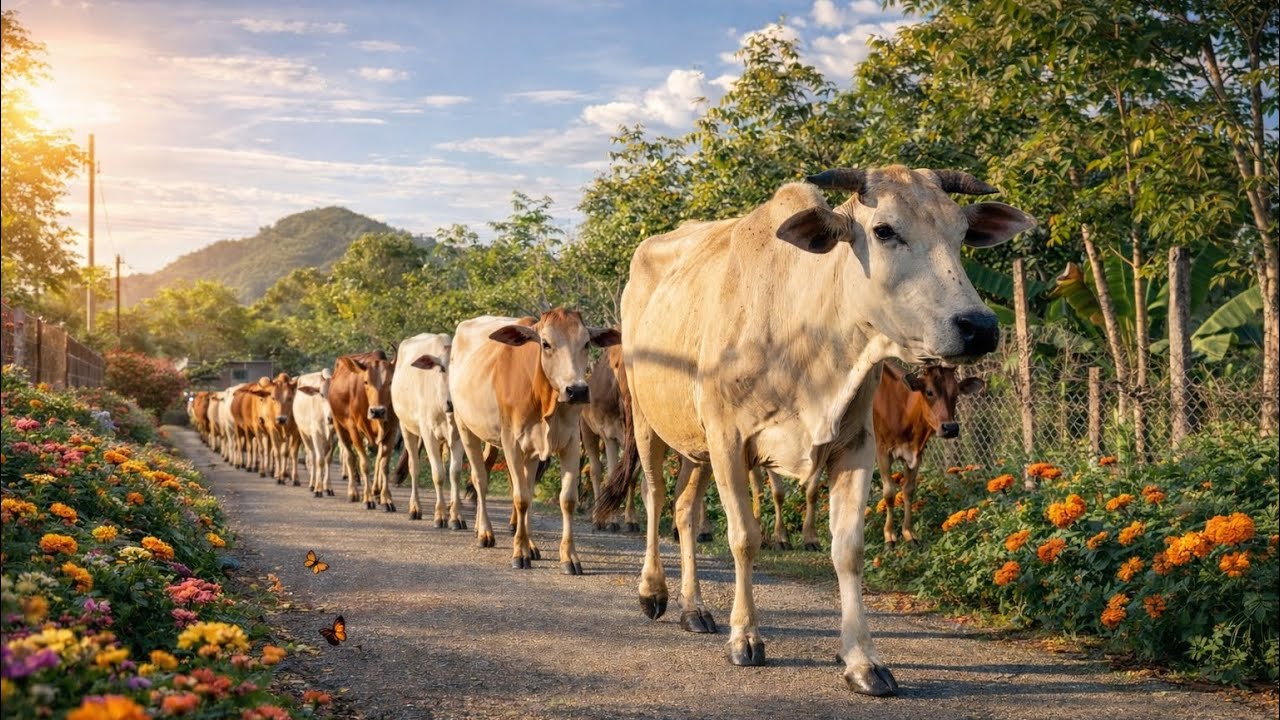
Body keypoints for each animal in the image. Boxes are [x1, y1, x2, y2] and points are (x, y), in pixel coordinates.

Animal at [294, 369, 336, 497]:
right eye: (322, 394)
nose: (331, 419)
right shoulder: (316, 434)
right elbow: (320, 460)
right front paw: (318, 489)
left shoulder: (335, 437)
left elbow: (328, 460)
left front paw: (328, 487)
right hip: (304, 433)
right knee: (312, 457)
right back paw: (312, 484)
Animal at [329, 350, 399, 510]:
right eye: (366, 382)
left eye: (390, 381)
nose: (377, 411)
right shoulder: (354, 429)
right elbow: (364, 464)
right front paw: (367, 499)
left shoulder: (392, 430)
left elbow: (384, 464)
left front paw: (387, 499)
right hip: (339, 425)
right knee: (349, 457)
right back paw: (353, 492)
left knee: (377, 459)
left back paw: (377, 491)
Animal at [391, 333, 466, 527]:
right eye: (441, 368)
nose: (451, 403)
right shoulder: (428, 434)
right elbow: (438, 474)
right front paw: (440, 516)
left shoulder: (458, 436)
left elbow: (454, 473)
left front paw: (456, 516)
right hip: (407, 428)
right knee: (414, 466)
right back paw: (415, 508)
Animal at [449, 309, 620, 574]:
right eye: (546, 343)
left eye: (586, 343)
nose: (577, 390)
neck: (544, 398)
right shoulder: (511, 442)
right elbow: (521, 498)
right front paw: (519, 553)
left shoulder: (570, 442)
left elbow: (565, 499)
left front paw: (568, 556)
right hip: (465, 427)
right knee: (480, 479)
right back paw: (485, 532)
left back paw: (527, 543)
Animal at [593, 166, 1034, 695]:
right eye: (884, 230)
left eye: (962, 232)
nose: (979, 326)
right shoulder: (729, 440)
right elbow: (744, 537)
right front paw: (746, 638)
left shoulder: (856, 446)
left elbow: (848, 549)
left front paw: (862, 660)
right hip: (647, 423)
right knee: (655, 498)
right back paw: (653, 591)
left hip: (696, 445)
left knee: (682, 509)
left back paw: (693, 609)